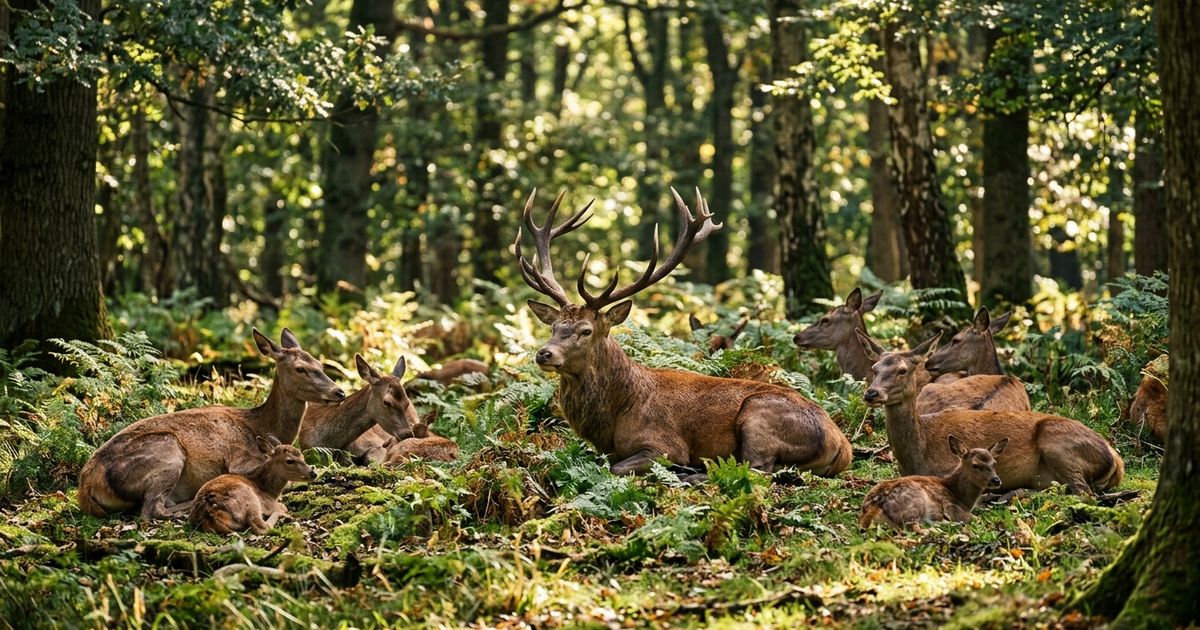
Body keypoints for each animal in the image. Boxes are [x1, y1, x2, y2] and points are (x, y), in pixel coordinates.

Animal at [77, 328, 345, 520]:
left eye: (320, 364)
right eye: (300, 369)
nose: (339, 392)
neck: (259, 426)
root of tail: (87, 485)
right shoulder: (240, 460)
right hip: (166, 450)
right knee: (152, 509)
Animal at [188, 436, 317, 534]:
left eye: (302, 457)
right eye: (289, 461)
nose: (313, 473)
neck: (267, 489)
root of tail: (209, 513)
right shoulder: (268, 503)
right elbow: (282, 506)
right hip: (248, 497)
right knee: (259, 526)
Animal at [515, 188, 852, 479]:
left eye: (585, 331)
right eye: (554, 326)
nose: (544, 353)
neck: (612, 418)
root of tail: (842, 446)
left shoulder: (665, 445)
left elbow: (616, 467)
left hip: (758, 417)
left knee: (757, 470)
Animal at [856, 330, 1124, 495]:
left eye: (902, 370)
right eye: (874, 368)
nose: (871, 393)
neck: (918, 452)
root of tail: (1117, 460)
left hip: (1057, 442)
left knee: (1084, 493)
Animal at [859, 435, 1006, 530]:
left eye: (994, 463)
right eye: (975, 465)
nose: (996, 480)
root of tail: (873, 506)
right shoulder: (950, 505)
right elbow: (974, 518)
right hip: (915, 503)